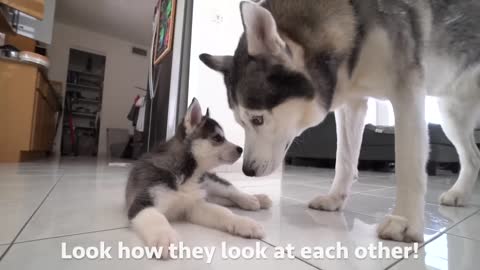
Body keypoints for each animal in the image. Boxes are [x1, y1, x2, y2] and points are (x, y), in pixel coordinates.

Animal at [125, 98, 272, 258]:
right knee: (225, 200)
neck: (187, 174)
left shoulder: (194, 205)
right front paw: (164, 236)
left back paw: (253, 199)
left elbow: (223, 212)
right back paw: (257, 200)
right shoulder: (143, 202)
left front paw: (243, 222)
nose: (241, 149)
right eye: (218, 138)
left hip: (211, 183)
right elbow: (156, 218)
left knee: (231, 191)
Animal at [200, 0, 480, 243]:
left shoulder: (407, 93)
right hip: (450, 114)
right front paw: (335, 199)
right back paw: (459, 194)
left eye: (257, 119)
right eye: (241, 122)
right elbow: (344, 159)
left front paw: (406, 222)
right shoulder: (352, 104)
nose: (247, 171)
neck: (353, 23)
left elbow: (409, 166)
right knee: (473, 157)